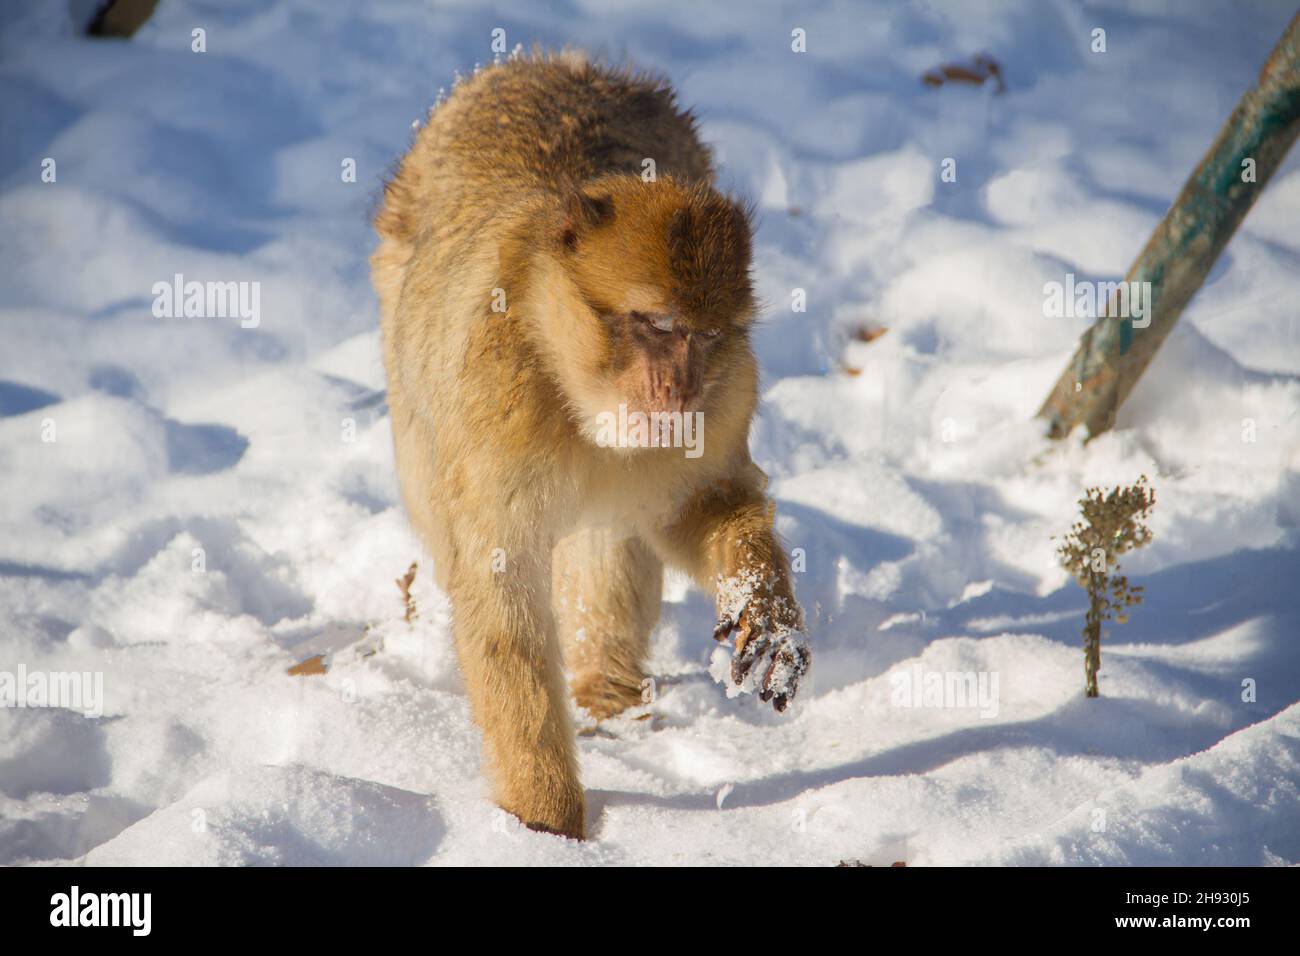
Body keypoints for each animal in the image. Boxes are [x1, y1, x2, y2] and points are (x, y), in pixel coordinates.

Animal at [371, 50, 809, 840]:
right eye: (659, 326)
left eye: (704, 335)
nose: (678, 390)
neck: (571, 387)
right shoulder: (494, 410)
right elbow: (501, 595)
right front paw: (544, 824)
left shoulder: (726, 396)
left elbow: (700, 506)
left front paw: (766, 604)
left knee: (613, 534)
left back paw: (610, 698)